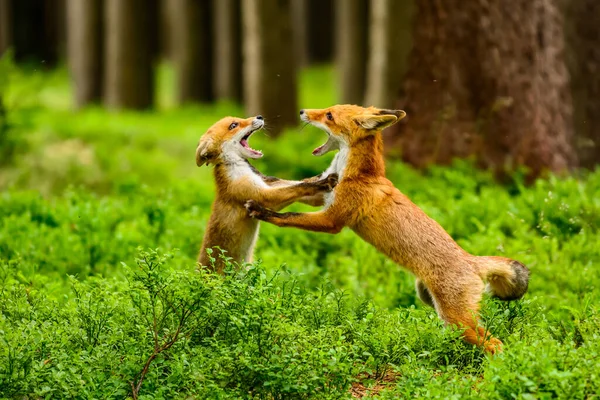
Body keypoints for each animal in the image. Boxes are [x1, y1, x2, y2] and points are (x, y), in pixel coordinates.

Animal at [197, 114, 338, 274]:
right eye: (233, 125)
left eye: (238, 119)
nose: (259, 116)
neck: (235, 166)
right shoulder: (261, 195)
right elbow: (301, 186)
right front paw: (324, 182)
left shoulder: (268, 182)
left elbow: (300, 183)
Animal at [245, 105, 528, 354]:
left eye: (329, 115)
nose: (302, 111)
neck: (356, 174)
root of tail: (470, 260)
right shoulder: (321, 196)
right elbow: (293, 185)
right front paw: (263, 179)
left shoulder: (332, 220)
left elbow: (288, 216)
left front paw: (262, 211)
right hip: (432, 302)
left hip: (457, 319)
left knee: (495, 344)